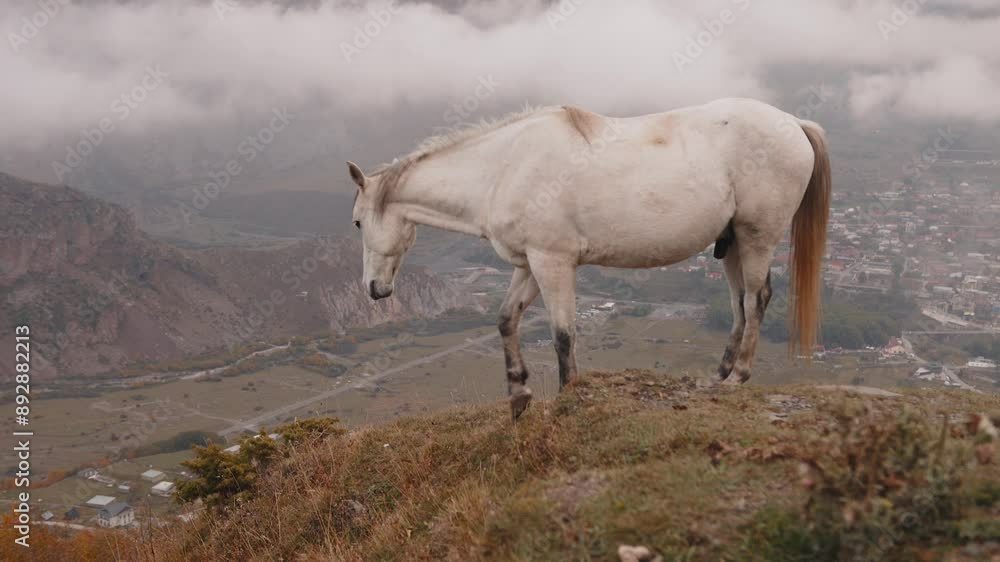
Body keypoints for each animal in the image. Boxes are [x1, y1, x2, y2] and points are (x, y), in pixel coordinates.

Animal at [347, 97, 830, 420]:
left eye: (355, 223)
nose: (375, 289)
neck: (503, 167)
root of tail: (794, 122)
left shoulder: (553, 263)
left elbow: (563, 334)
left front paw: (567, 392)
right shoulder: (531, 264)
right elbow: (506, 319)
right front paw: (518, 395)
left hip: (757, 237)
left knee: (756, 299)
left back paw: (738, 376)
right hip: (731, 244)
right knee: (738, 306)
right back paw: (721, 373)